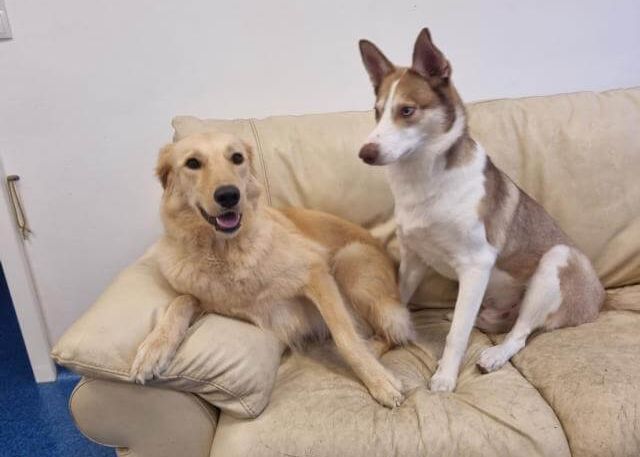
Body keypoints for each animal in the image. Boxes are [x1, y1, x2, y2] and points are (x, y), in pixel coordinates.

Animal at [129, 131, 415, 407]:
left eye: (237, 158)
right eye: (192, 163)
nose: (229, 195)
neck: (227, 252)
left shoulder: (315, 272)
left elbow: (346, 338)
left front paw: (378, 381)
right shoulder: (205, 299)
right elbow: (181, 301)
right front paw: (153, 349)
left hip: (349, 261)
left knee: (395, 332)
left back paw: (372, 350)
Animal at [357, 28, 605, 392]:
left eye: (407, 110)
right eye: (377, 111)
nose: (365, 153)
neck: (425, 179)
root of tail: (601, 297)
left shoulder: (476, 265)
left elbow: (456, 335)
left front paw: (445, 377)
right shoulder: (413, 259)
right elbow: (396, 305)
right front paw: (380, 342)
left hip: (557, 261)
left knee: (518, 333)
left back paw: (495, 355)